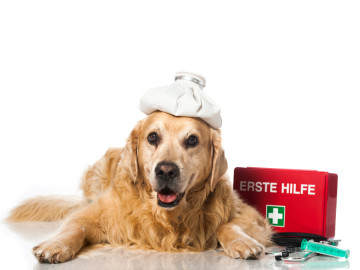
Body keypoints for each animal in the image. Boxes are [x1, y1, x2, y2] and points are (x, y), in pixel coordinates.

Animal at [7, 110, 272, 262]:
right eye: (152, 137)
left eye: (192, 140)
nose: (166, 170)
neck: (167, 216)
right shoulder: (95, 214)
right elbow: (75, 227)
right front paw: (56, 244)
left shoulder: (249, 214)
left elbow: (226, 225)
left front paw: (244, 242)